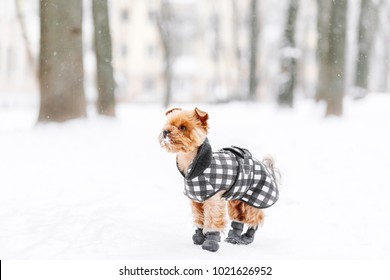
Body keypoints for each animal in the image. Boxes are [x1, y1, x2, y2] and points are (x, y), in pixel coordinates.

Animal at [159, 107, 280, 252]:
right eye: (168, 124)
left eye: (183, 127)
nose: (165, 131)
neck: (193, 163)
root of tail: (268, 169)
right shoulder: (197, 200)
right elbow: (200, 219)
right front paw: (199, 238)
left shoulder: (213, 200)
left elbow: (213, 220)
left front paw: (210, 243)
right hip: (237, 199)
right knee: (238, 218)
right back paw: (233, 238)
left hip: (253, 199)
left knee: (255, 218)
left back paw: (247, 238)